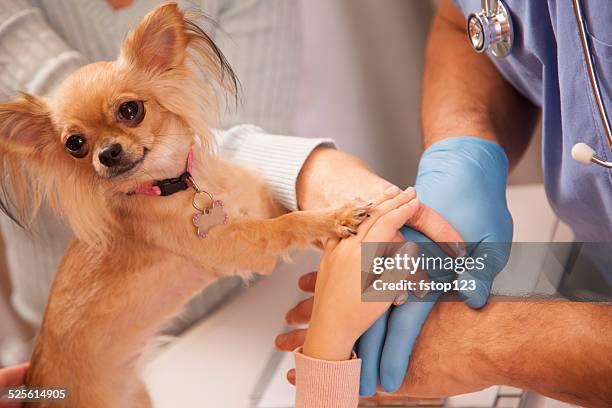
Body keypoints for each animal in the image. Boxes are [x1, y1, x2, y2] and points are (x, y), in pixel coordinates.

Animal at [0, 2, 368, 404]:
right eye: (75, 144)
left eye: (130, 110)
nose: (107, 153)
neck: (179, 184)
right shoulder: (242, 247)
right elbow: (288, 225)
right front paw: (335, 218)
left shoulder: (256, 205)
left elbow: (289, 213)